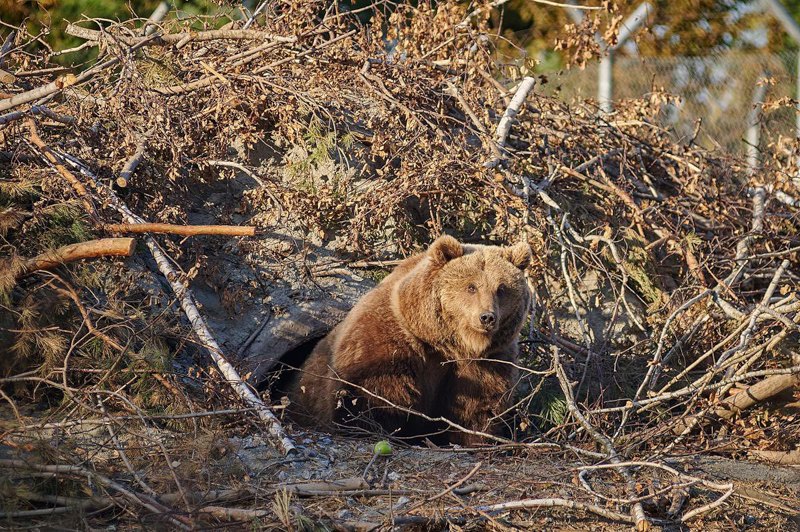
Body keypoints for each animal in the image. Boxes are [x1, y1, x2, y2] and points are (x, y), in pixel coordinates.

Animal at [288, 235, 532, 442]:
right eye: (471, 286)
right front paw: (371, 427)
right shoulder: (392, 341)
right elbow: (373, 392)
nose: (487, 317)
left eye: (501, 288)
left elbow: (476, 407)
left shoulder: (486, 362)